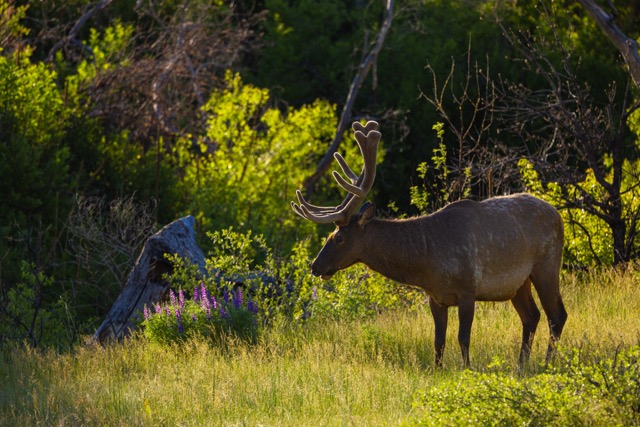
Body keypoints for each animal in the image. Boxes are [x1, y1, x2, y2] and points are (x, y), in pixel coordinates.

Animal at [291, 120, 568, 368]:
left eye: (338, 238)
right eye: (329, 235)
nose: (315, 266)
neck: (426, 262)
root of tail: (558, 214)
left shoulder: (468, 289)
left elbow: (463, 338)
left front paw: (467, 369)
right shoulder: (435, 297)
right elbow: (438, 341)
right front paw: (438, 370)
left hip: (547, 264)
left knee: (557, 315)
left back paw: (547, 363)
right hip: (518, 284)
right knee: (531, 316)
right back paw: (522, 364)